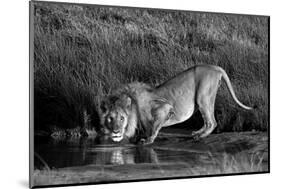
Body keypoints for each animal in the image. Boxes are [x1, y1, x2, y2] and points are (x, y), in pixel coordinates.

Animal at [99, 64, 253, 144]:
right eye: (110, 118)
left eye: (121, 118)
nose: (116, 130)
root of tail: (215, 67)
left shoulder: (164, 108)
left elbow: (155, 127)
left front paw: (148, 140)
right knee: (207, 121)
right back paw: (197, 132)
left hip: (203, 95)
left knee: (212, 122)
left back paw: (200, 136)